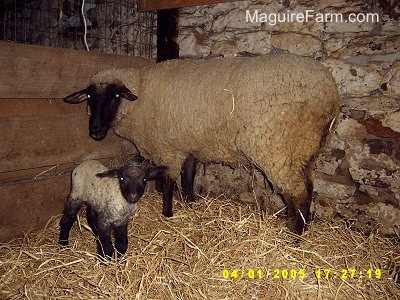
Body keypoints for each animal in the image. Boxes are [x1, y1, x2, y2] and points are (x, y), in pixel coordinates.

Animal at [64, 54, 340, 234]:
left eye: (115, 95)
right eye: (89, 96)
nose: (95, 132)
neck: (140, 94)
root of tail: (331, 93)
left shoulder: (168, 149)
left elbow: (168, 183)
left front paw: (168, 214)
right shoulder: (187, 145)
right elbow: (188, 177)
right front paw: (190, 203)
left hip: (279, 149)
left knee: (298, 193)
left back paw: (295, 235)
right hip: (306, 150)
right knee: (308, 187)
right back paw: (296, 225)